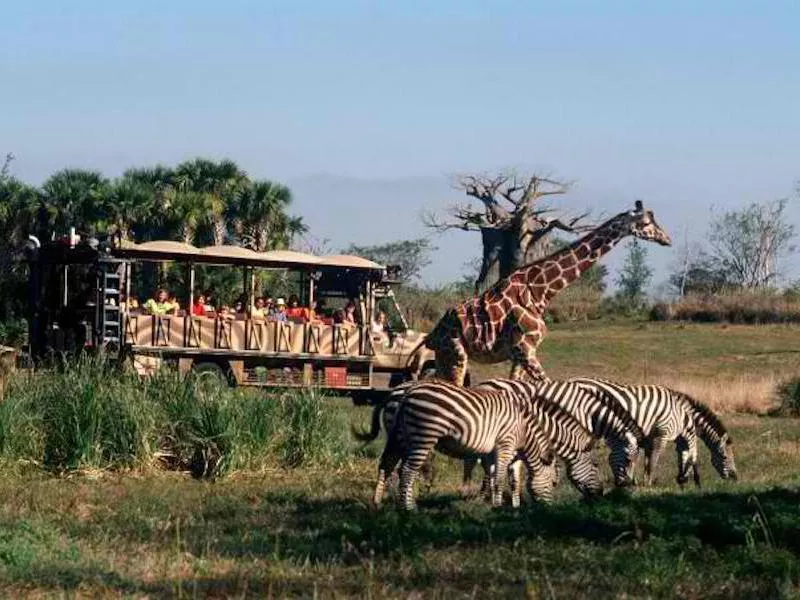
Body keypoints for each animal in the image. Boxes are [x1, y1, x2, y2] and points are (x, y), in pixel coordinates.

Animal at [356, 378, 556, 508]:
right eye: (554, 483)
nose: (548, 510)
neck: (524, 429)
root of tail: (408, 392)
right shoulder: (505, 444)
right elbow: (499, 477)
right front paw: (498, 506)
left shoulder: (490, 451)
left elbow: (492, 475)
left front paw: (490, 503)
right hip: (423, 435)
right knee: (407, 471)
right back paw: (409, 508)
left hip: (400, 437)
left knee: (387, 465)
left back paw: (379, 503)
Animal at [422, 202, 672, 384]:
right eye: (646, 222)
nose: (667, 239)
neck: (541, 291)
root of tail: (433, 333)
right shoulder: (525, 350)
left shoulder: (520, 354)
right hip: (456, 353)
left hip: (445, 358)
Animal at [568, 380, 736, 488]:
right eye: (725, 457)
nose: (735, 478)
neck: (682, 412)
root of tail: (571, 379)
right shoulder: (662, 435)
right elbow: (654, 460)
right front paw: (647, 484)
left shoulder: (651, 439)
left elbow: (651, 460)